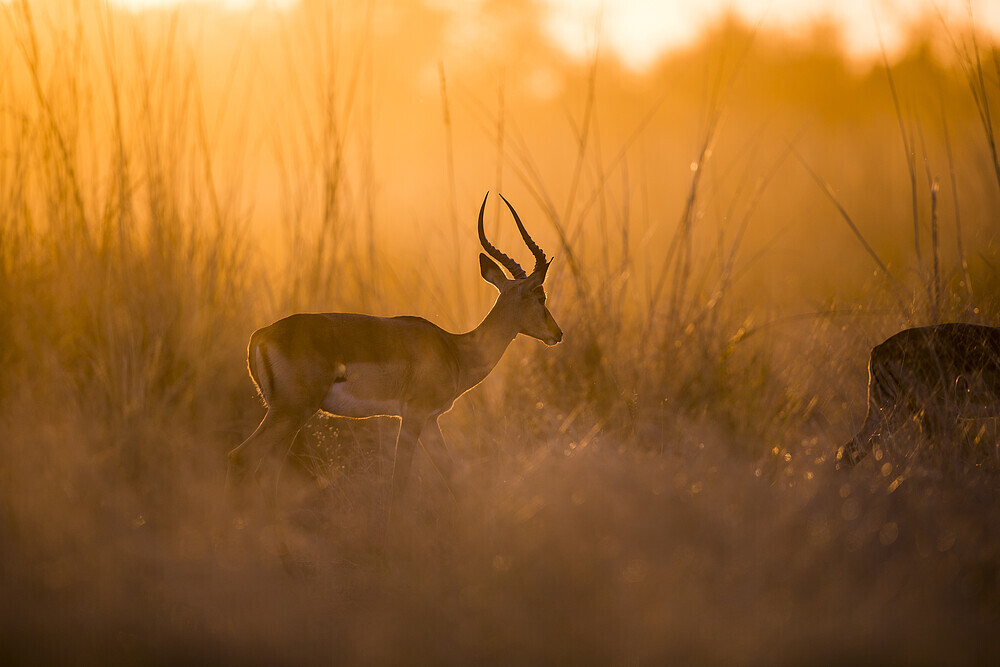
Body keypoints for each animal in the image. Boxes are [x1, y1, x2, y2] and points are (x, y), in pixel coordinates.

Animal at [230, 190, 568, 528]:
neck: (455, 350)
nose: (558, 333)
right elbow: (399, 480)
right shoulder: (414, 415)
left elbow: (453, 476)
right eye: (540, 296)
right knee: (242, 457)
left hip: (289, 415)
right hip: (291, 411)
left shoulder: (431, 420)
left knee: (268, 469)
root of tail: (259, 335)